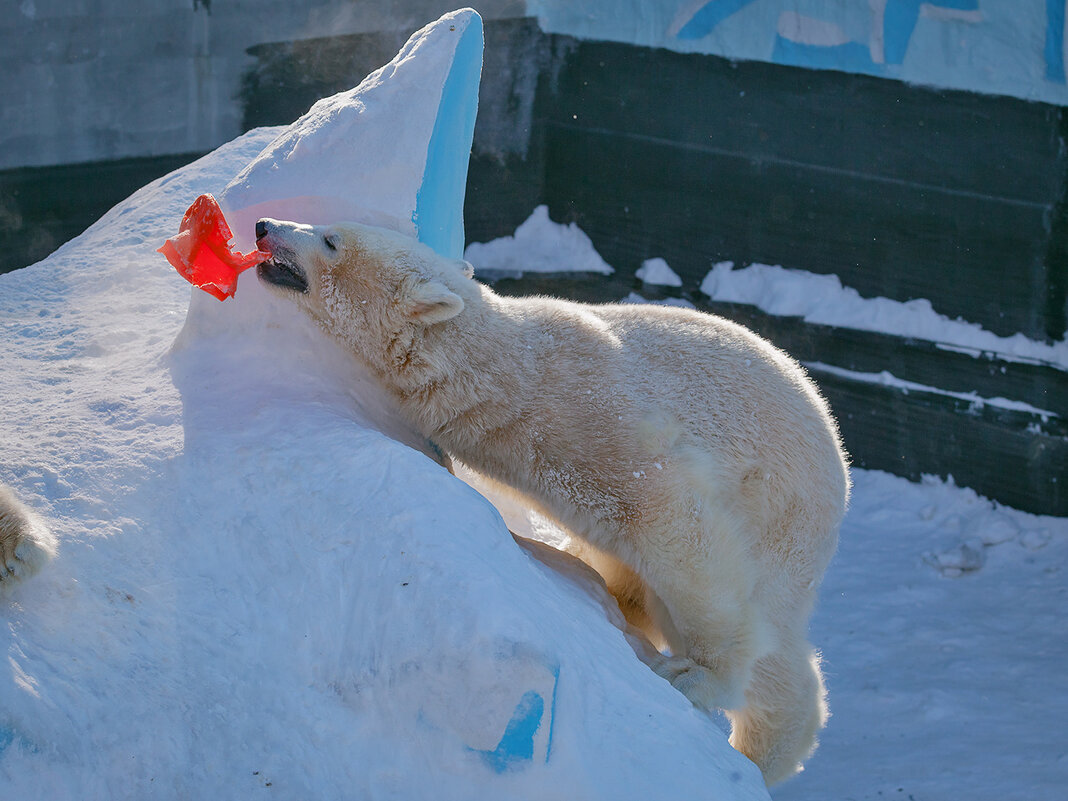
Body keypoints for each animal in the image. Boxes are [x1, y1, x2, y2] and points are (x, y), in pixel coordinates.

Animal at [254, 217, 845, 786]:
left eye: (331, 239)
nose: (263, 224)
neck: (510, 376)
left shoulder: (602, 425)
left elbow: (676, 527)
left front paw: (694, 675)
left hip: (783, 522)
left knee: (770, 635)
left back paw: (766, 749)